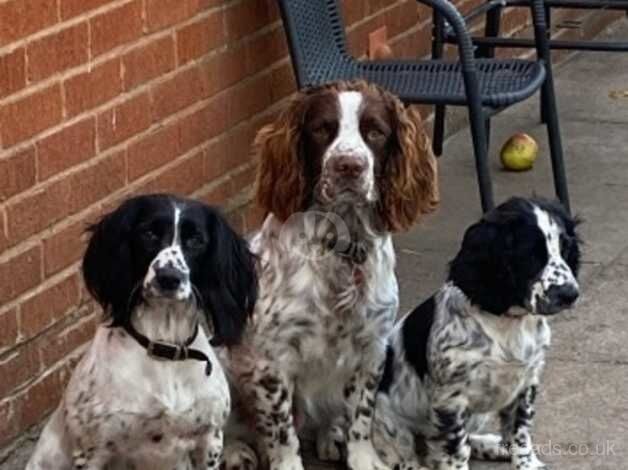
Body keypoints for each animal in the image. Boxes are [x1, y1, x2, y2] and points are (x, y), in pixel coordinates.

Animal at [26, 194, 258, 470]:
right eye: (149, 233)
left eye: (196, 240)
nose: (169, 277)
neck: (163, 347)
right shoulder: (91, 452)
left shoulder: (210, 438)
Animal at [223, 81, 440, 470]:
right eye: (322, 129)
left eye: (376, 132)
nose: (348, 166)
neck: (342, 244)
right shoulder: (272, 360)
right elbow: (282, 432)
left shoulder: (372, 347)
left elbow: (361, 418)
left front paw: (363, 458)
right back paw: (236, 451)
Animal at [372, 196, 584, 470]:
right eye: (530, 255)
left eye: (566, 248)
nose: (569, 294)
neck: (508, 322)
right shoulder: (450, 399)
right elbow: (456, 450)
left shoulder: (526, 382)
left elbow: (520, 432)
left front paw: (527, 463)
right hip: (388, 423)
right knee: (409, 457)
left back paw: (494, 446)